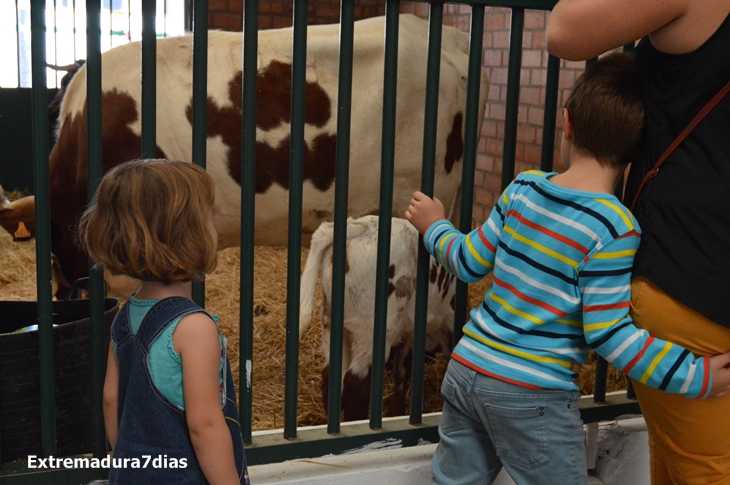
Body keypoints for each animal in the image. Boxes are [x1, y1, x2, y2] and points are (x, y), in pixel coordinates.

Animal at [298, 216, 452, 420]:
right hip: (371, 333)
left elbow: (403, 371)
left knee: (331, 375)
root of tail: (363, 227)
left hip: (331, 324)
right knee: (356, 383)